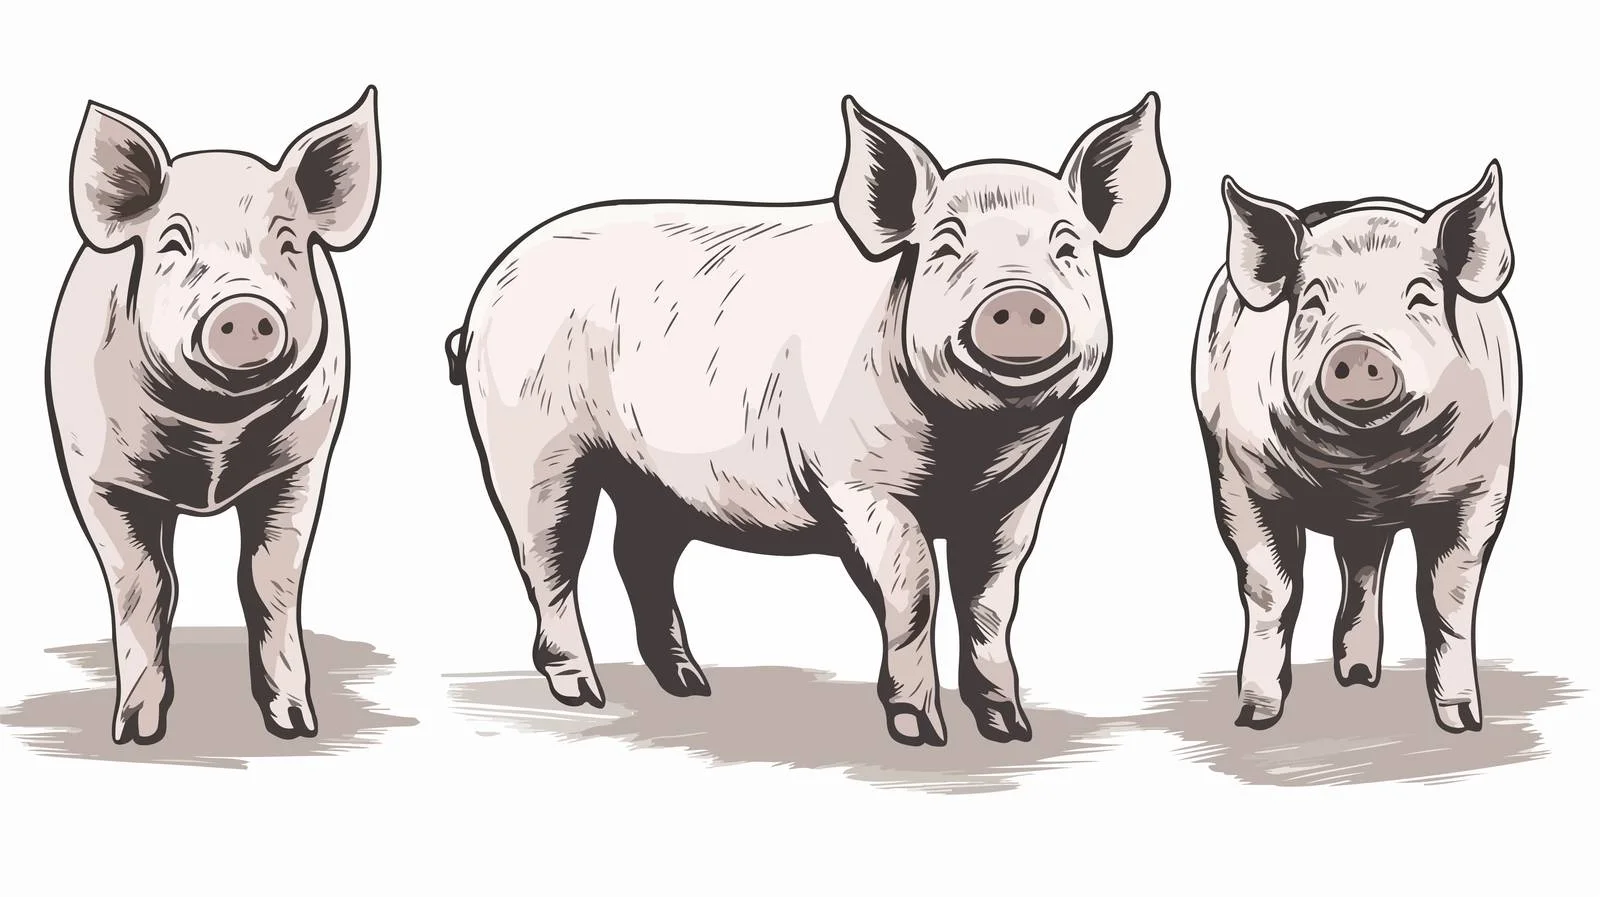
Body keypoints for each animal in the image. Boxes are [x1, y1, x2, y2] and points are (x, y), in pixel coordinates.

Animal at [46, 88, 381, 744]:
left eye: (287, 244)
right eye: (174, 244)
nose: (245, 309)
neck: (214, 432)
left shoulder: (300, 468)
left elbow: (268, 579)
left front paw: (295, 726)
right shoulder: (98, 478)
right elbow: (144, 584)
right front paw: (137, 734)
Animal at [447, 94, 1169, 746]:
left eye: (1067, 248)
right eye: (944, 247)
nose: (1017, 299)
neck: (973, 446)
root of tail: (485, 294)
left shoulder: (1020, 492)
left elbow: (990, 599)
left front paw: (1011, 730)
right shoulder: (857, 485)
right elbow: (916, 590)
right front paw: (920, 733)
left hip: (655, 479)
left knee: (639, 556)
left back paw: (690, 683)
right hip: (531, 443)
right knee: (547, 554)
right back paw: (584, 692)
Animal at [1192, 163, 1519, 733]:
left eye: (1421, 298)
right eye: (1314, 302)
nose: (1361, 350)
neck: (1366, 467)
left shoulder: (1483, 484)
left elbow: (1447, 597)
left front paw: (1463, 722)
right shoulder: (1238, 478)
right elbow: (1272, 591)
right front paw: (1254, 718)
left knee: (1364, 568)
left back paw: (1362, 678)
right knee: (1359, 567)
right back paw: (1357, 679)